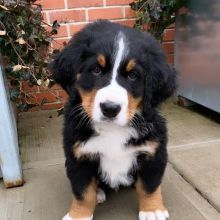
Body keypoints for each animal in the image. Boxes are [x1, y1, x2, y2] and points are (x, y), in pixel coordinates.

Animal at [49, 19, 175, 219]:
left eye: (133, 75)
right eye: (96, 70)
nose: (110, 108)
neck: (112, 131)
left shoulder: (153, 153)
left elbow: (149, 186)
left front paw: (152, 210)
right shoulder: (78, 157)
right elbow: (83, 193)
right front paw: (79, 215)